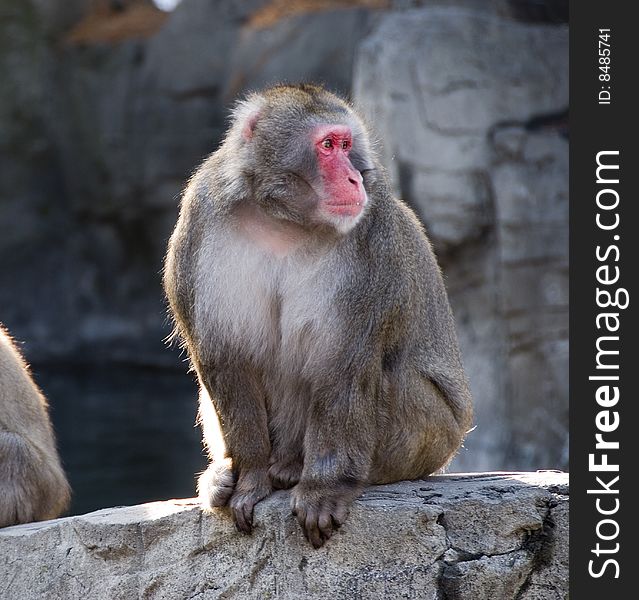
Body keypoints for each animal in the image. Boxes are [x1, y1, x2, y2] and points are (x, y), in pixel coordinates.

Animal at [165, 84, 476, 548]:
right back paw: (232, 472)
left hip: (429, 434)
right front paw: (250, 477)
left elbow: (342, 363)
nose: (354, 178)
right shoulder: (200, 217)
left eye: (347, 145)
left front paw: (323, 489)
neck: (283, 219)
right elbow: (225, 358)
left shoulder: (373, 234)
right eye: (327, 146)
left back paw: (300, 469)